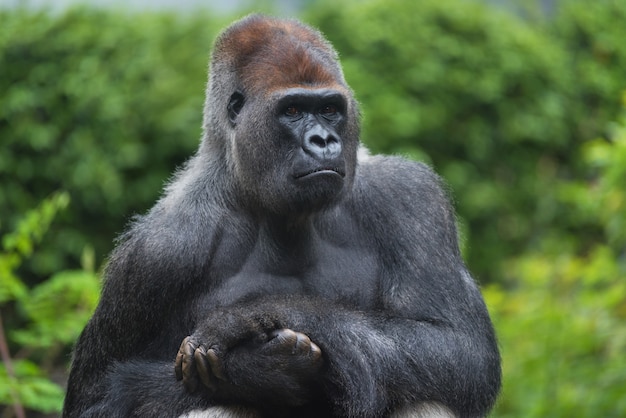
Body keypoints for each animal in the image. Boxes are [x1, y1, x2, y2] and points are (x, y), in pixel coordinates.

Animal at [63, 13, 500, 418]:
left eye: (330, 109)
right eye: (292, 110)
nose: (323, 141)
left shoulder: (411, 197)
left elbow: (458, 346)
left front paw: (249, 317)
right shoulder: (156, 252)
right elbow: (99, 395)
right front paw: (260, 371)